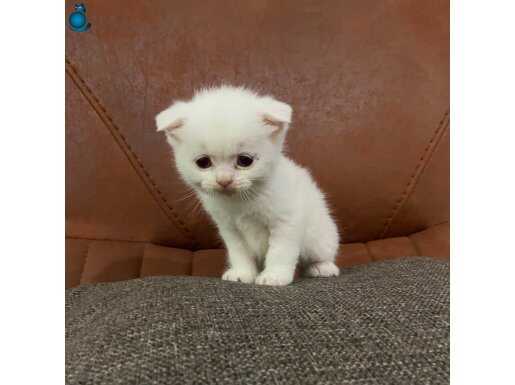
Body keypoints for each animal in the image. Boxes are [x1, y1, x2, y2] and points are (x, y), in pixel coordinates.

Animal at [155, 86, 340, 284]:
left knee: (320, 254)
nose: (224, 180)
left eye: (245, 161)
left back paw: (322, 267)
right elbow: (240, 253)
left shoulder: (286, 222)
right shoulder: (230, 229)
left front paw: (274, 275)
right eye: (203, 162)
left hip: (318, 239)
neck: (243, 200)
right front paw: (242, 273)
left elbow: (280, 251)